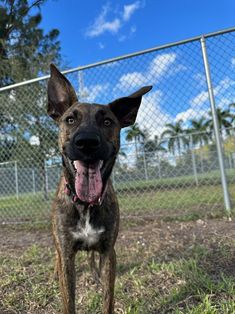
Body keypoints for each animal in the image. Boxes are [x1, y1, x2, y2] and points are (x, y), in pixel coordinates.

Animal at [47, 64, 152, 314]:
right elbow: (68, 301)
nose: (87, 142)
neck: (85, 204)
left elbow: (108, 298)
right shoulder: (66, 254)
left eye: (107, 122)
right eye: (70, 119)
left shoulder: (107, 251)